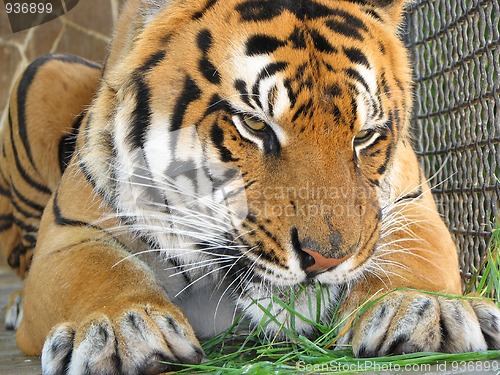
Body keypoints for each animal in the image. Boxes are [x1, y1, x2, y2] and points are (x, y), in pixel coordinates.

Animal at [0, 0, 500, 374]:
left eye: (364, 137)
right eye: (254, 125)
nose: (327, 260)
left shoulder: (412, 203)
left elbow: (416, 257)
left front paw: (426, 309)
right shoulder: (70, 231)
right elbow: (96, 272)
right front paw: (121, 330)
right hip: (42, 71)